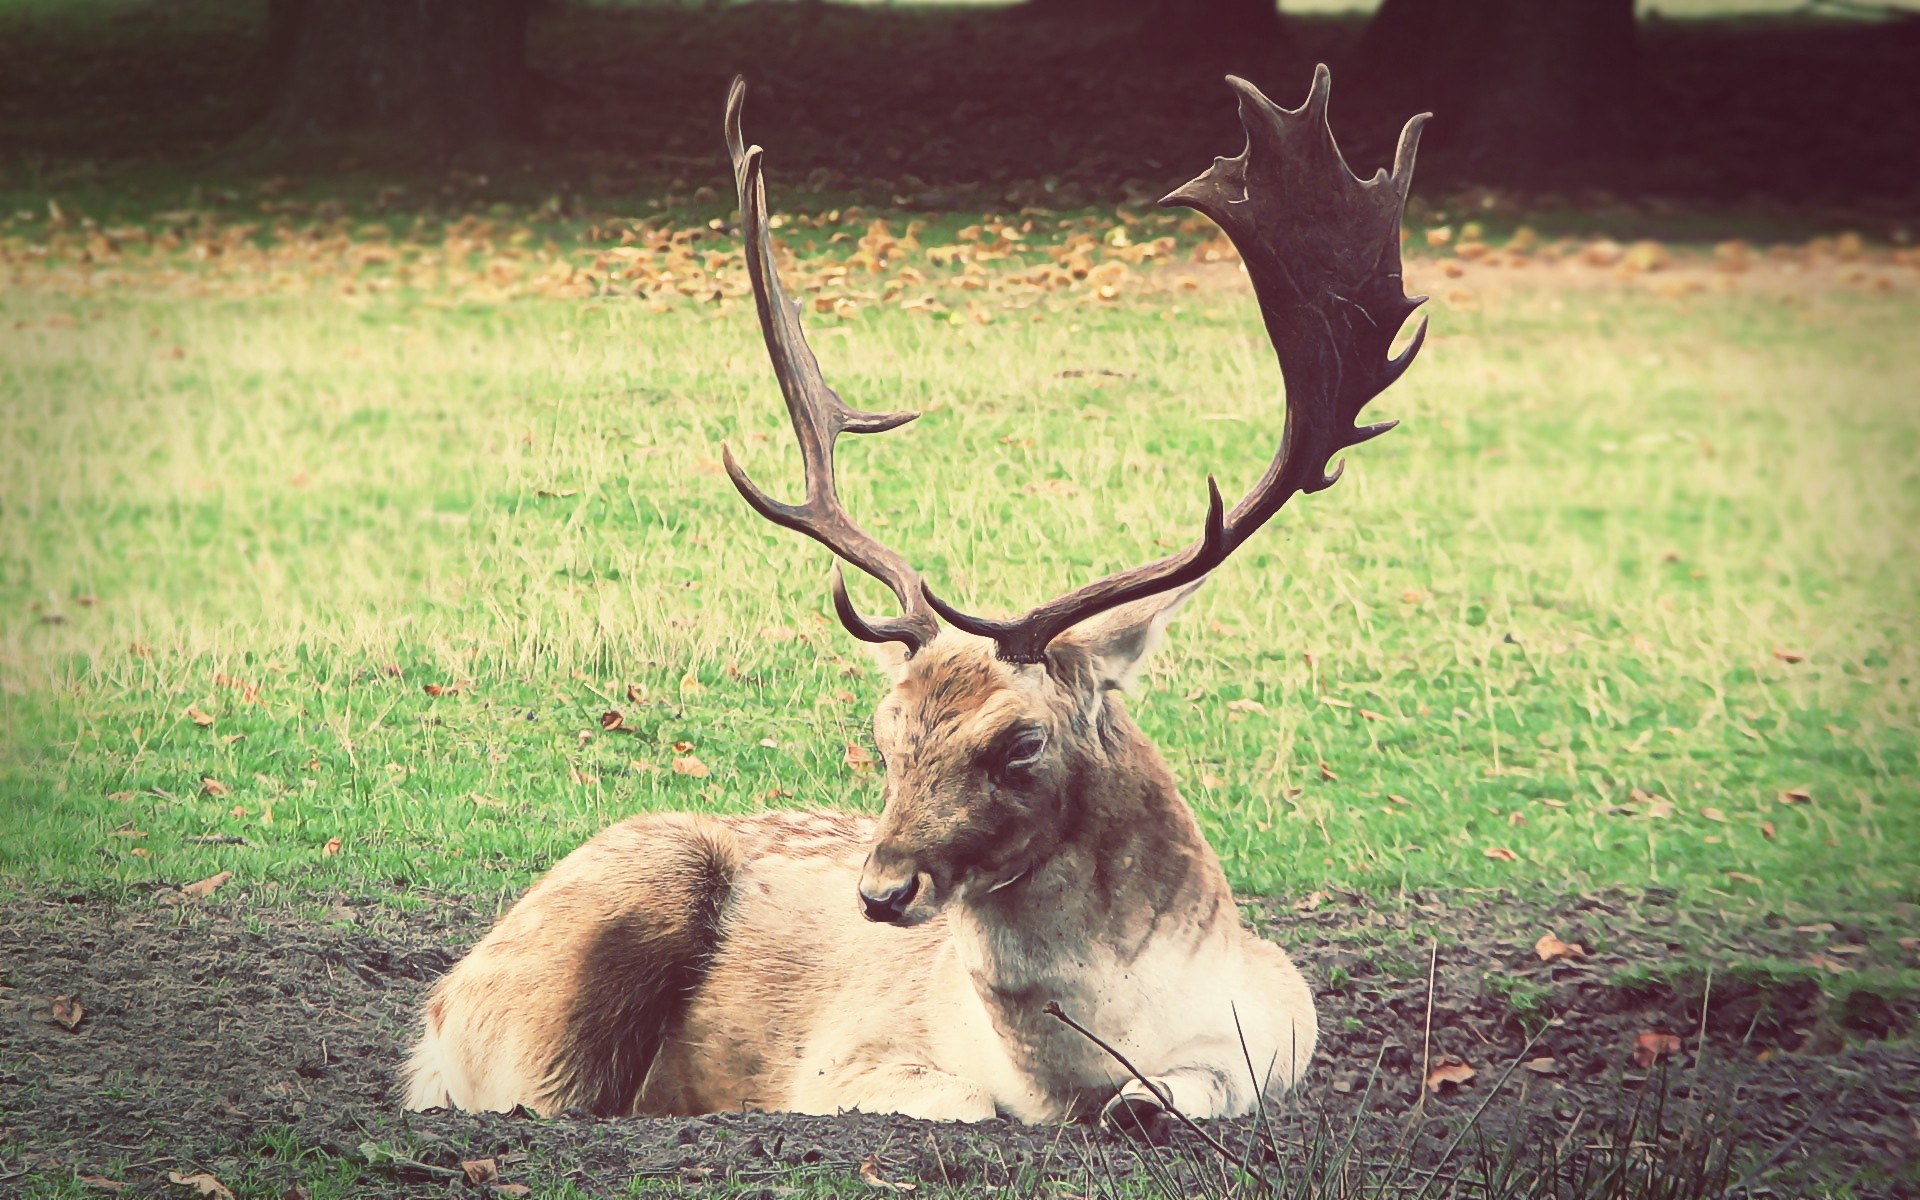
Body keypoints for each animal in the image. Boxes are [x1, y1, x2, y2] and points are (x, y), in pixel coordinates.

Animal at [405, 70, 1428, 1136]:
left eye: (1021, 742)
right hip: (582, 958)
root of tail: (433, 1017)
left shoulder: (1282, 1035)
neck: (1073, 1073)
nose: (881, 890)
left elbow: (1172, 1099)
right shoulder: (844, 1061)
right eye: (884, 733)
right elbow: (970, 1104)